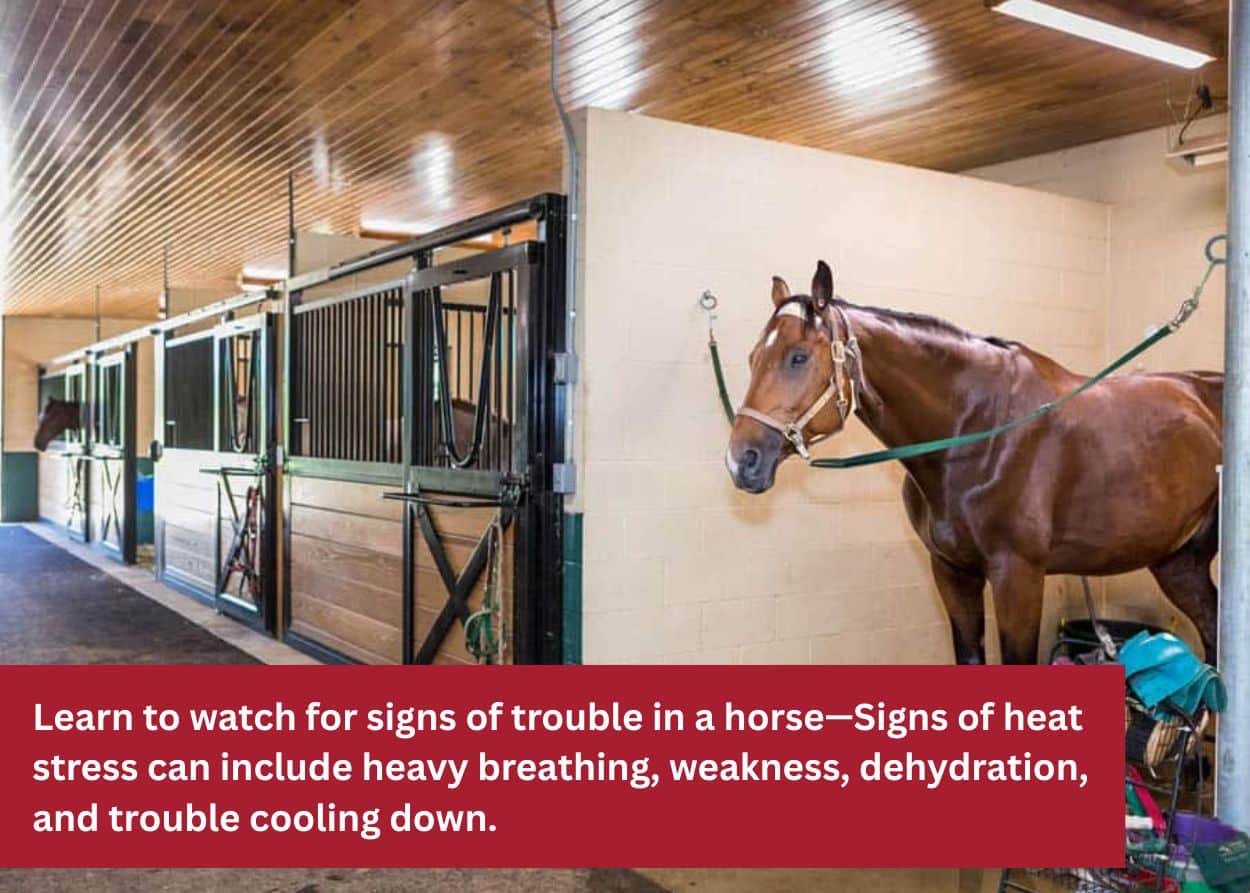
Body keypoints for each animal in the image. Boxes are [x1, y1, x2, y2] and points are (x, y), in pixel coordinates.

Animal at [725, 261, 1223, 666]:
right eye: (753, 357)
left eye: (798, 357)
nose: (741, 460)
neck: (977, 431)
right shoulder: (952, 572)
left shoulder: (1018, 577)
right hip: (1179, 562)